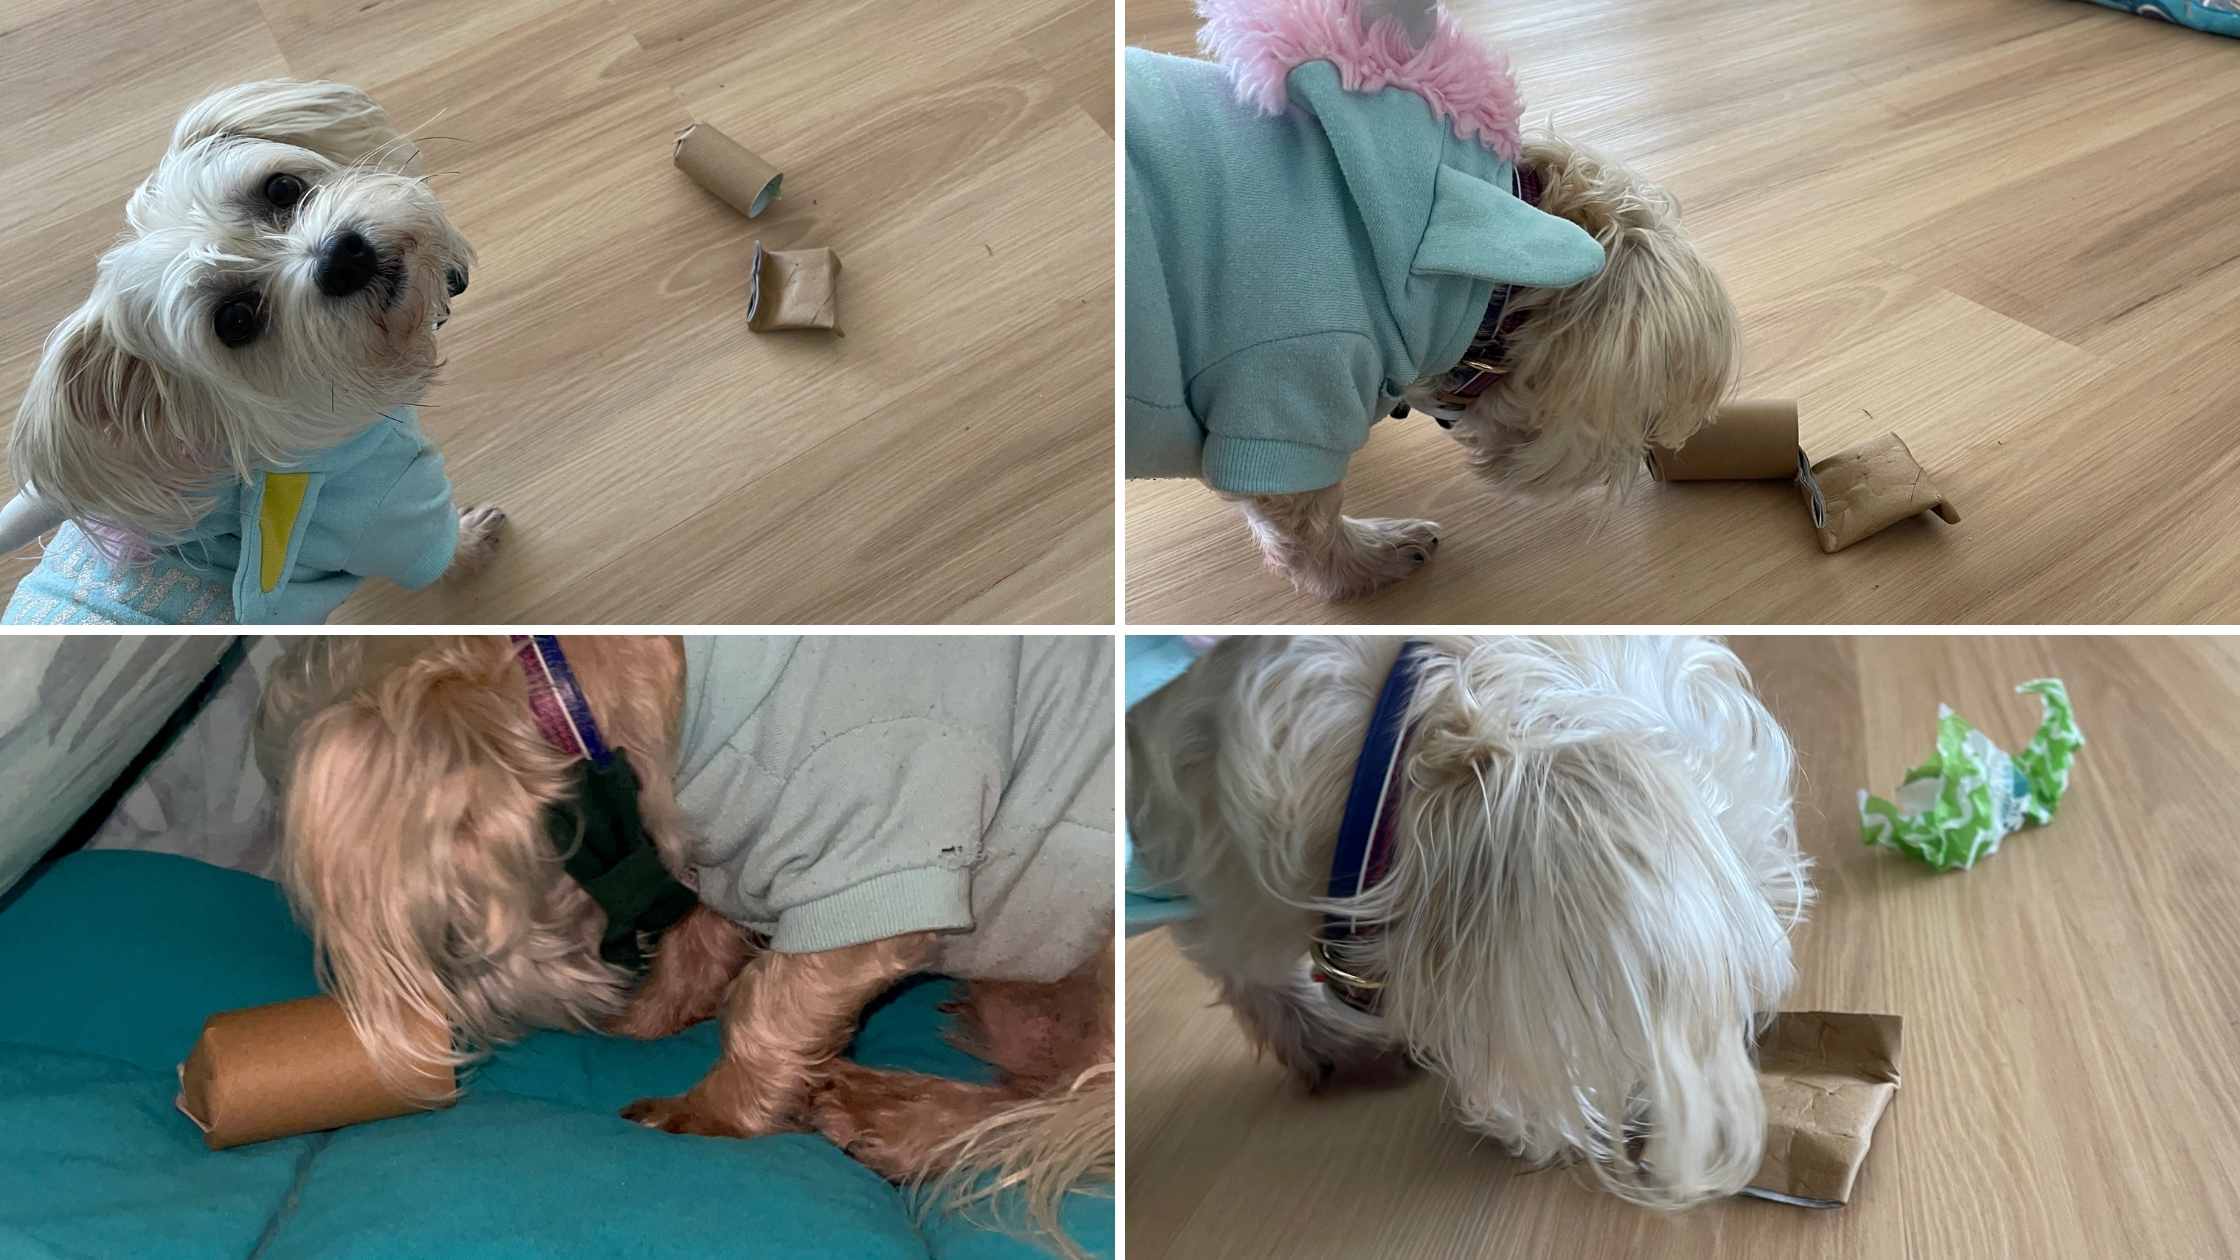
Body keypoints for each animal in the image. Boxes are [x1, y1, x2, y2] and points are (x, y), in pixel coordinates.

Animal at [0, 80, 499, 618]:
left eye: (281, 188)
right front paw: (473, 542)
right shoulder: (393, 511)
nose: (341, 259)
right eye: (235, 320)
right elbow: (440, 550)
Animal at [264, 632, 1120, 1237]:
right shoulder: (726, 858)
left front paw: (711, 1114)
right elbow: (702, 942)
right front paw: (652, 1013)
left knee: (1076, 1112)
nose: (439, 1045)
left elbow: (767, 1008)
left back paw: (904, 1118)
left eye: (438, 938)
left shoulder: (880, 855)